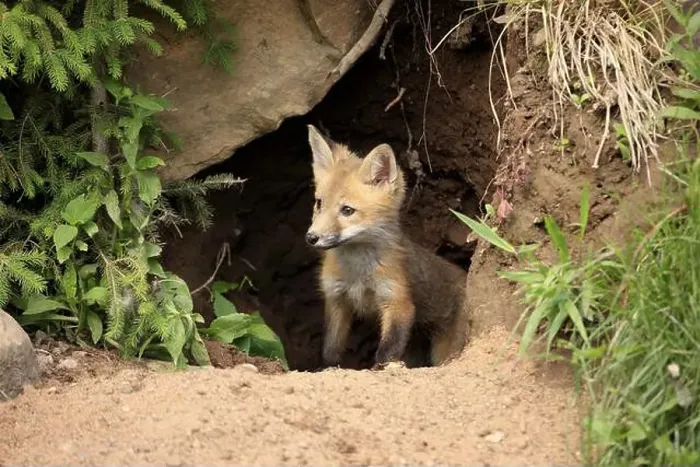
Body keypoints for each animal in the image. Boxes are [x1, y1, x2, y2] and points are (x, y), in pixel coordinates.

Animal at [305, 124, 469, 369]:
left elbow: (387, 353)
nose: (311, 237)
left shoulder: (397, 301)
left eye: (347, 210)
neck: (357, 273)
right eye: (319, 203)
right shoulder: (336, 299)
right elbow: (330, 351)